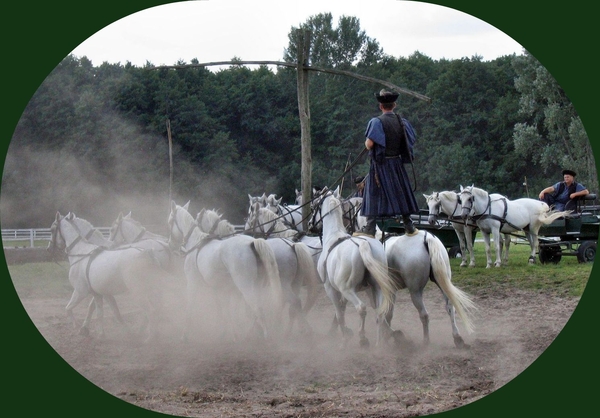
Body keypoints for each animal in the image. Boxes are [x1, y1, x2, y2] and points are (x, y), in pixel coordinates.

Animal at [48, 212, 166, 340]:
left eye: (52, 230)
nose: (48, 248)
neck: (81, 252)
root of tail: (145, 253)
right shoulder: (101, 293)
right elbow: (107, 312)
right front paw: (104, 333)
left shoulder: (80, 292)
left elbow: (68, 308)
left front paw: (78, 326)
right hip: (153, 290)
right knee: (158, 308)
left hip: (138, 293)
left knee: (151, 311)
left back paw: (149, 338)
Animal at [166, 202, 284, 342]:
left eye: (170, 222)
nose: (171, 245)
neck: (196, 242)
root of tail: (252, 242)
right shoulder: (220, 289)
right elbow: (225, 311)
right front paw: (229, 333)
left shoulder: (192, 284)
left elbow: (190, 308)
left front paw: (184, 335)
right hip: (256, 286)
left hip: (245, 286)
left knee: (257, 308)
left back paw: (264, 337)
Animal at [312, 191, 396, 348]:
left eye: (314, 205)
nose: (309, 225)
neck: (333, 236)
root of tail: (364, 245)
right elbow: (342, 308)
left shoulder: (330, 288)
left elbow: (339, 313)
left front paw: (345, 337)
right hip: (377, 288)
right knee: (380, 313)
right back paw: (379, 345)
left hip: (348, 290)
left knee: (361, 308)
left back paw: (363, 339)